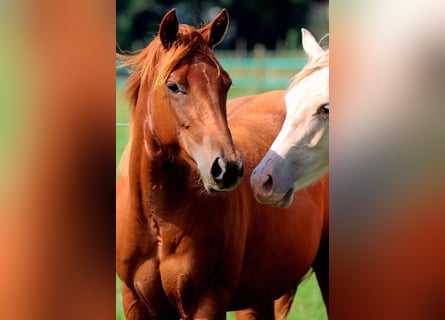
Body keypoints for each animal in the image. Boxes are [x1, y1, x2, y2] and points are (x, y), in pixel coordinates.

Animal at [117, 10, 326, 320]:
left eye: (225, 83)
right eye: (173, 86)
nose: (227, 168)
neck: (158, 219)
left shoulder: (208, 301)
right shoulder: (135, 302)